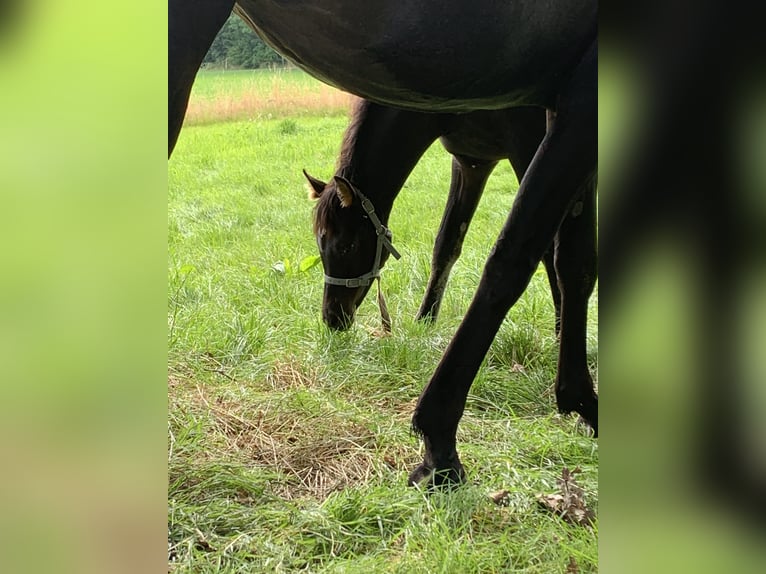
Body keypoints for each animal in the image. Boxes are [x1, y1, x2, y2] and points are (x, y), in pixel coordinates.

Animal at [171, 0, 596, 488]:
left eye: (346, 247)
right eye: (321, 245)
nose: (333, 320)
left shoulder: (513, 148)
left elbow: (540, 255)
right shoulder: (483, 157)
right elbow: (472, 247)